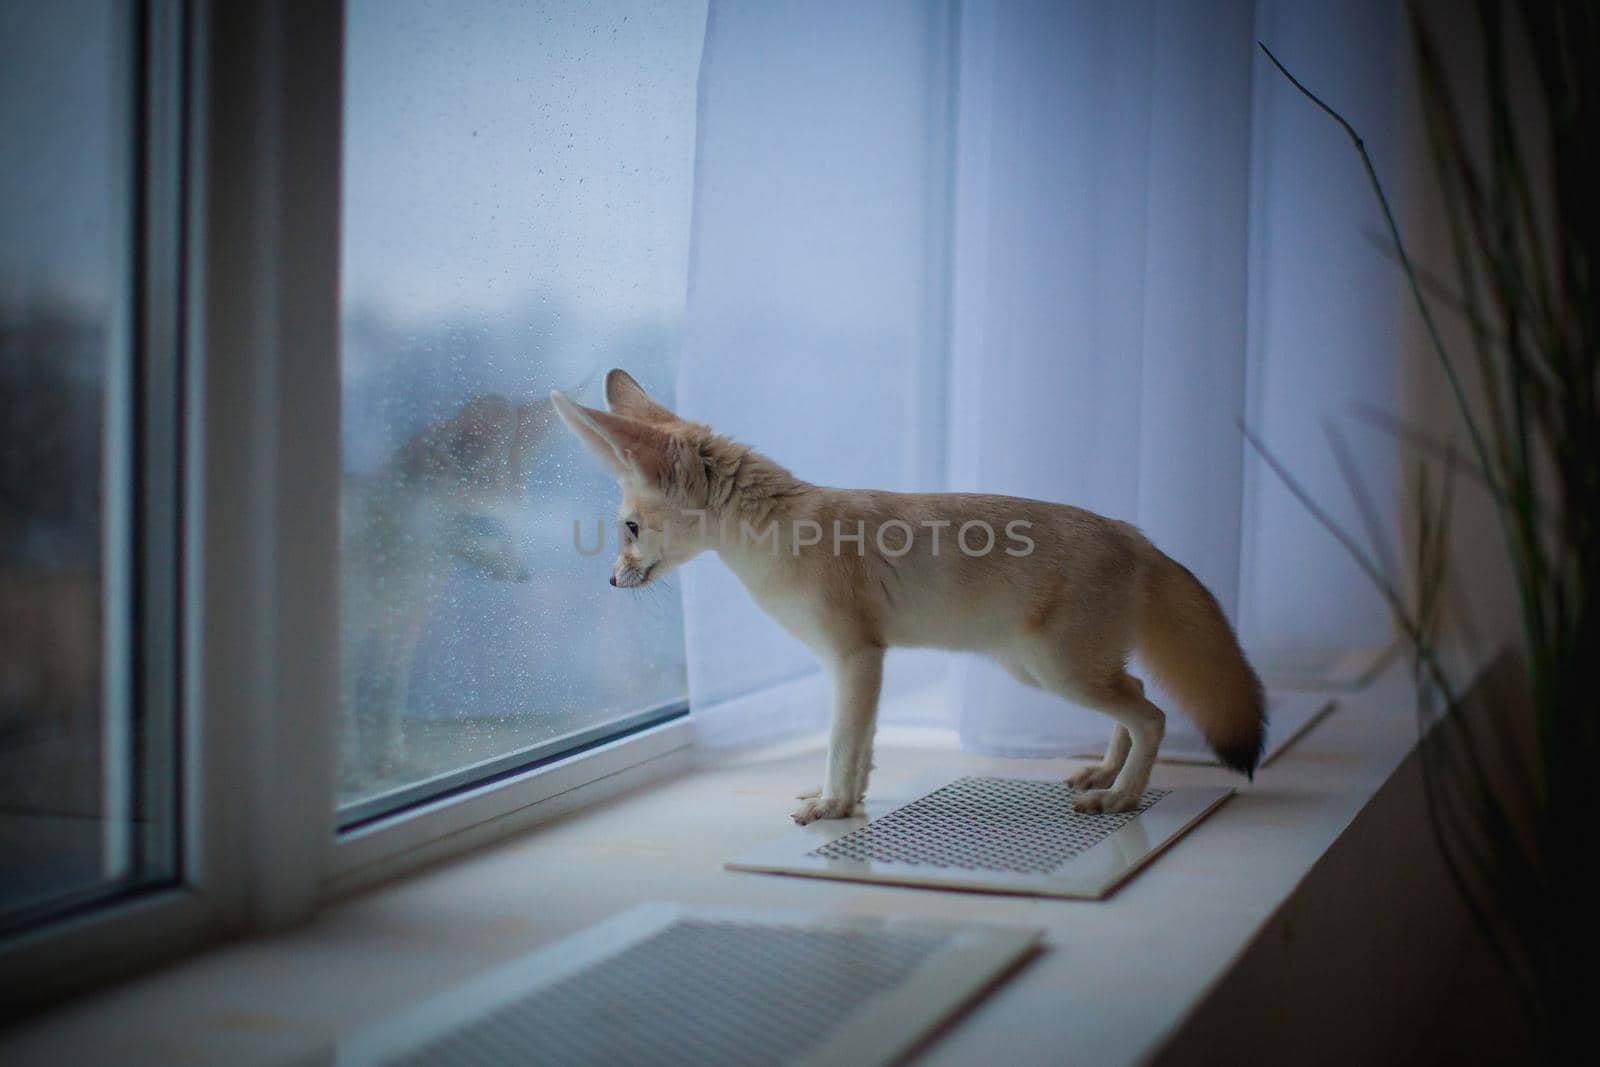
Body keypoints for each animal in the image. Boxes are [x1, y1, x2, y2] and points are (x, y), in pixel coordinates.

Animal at [550, 371, 1260, 825]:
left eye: (628, 529)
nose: (610, 581)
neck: (781, 528)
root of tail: (1134, 534)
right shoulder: (859, 663)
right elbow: (862, 750)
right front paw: (850, 803)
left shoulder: (856, 658)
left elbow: (843, 744)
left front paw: (832, 807)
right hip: (1053, 670)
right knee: (1136, 699)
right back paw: (1107, 774)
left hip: (1058, 671)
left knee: (1154, 716)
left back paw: (1120, 798)